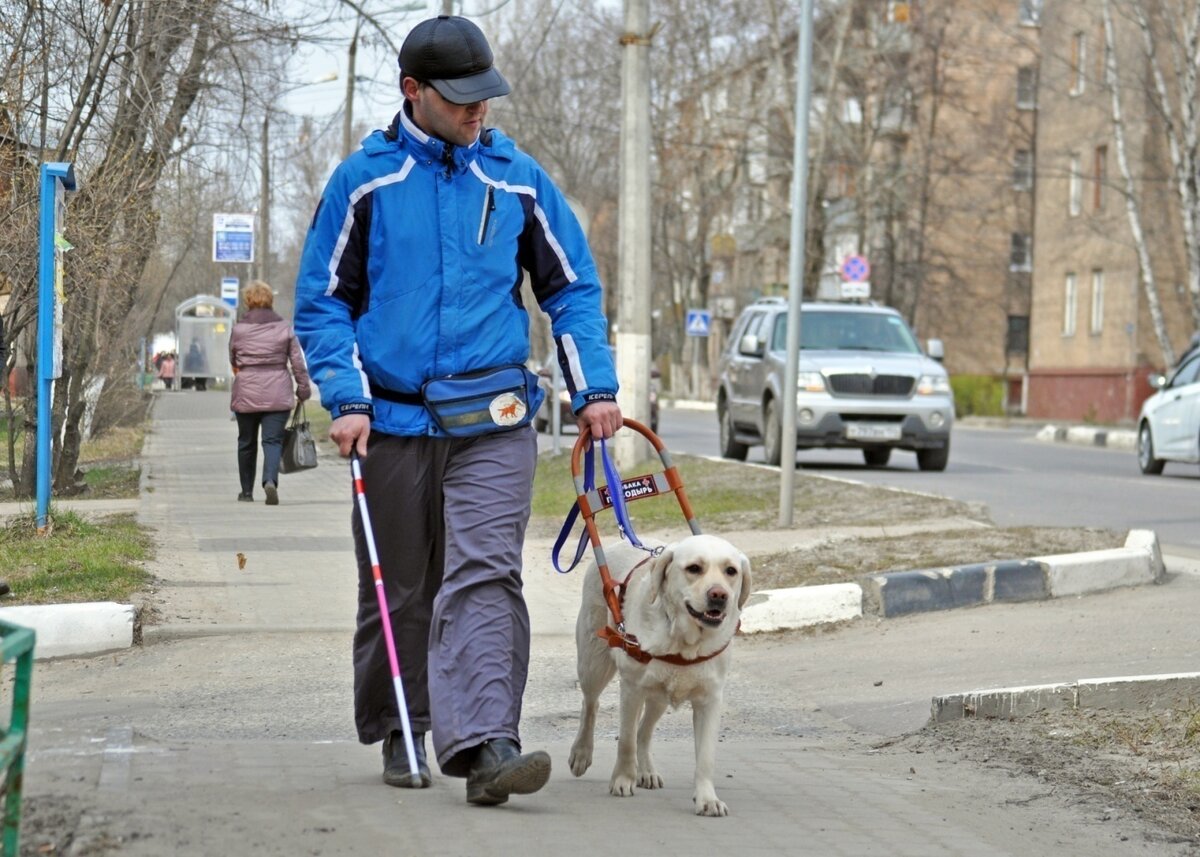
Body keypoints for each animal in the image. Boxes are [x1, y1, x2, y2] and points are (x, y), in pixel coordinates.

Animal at [564, 530, 748, 816]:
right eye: (694, 568)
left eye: (731, 571)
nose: (719, 594)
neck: (684, 644)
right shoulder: (631, 689)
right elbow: (625, 740)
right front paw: (622, 780)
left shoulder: (710, 699)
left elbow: (706, 757)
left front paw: (707, 799)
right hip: (593, 665)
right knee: (590, 705)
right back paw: (582, 753)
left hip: (659, 696)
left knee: (644, 731)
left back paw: (646, 771)